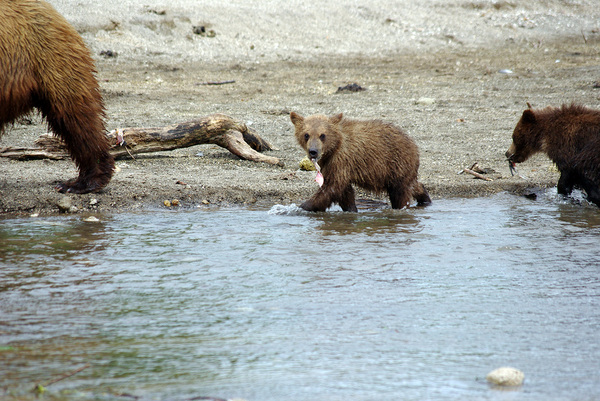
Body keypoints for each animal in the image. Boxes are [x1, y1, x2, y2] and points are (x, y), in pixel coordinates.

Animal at [290, 111, 432, 212]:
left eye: (322, 135)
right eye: (306, 135)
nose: (313, 151)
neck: (334, 147)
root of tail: (413, 143)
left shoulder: (342, 159)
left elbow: (331, 187)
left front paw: (301, 207)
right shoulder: (330, 163)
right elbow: (344, 191)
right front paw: (351, 209)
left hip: (397, 162)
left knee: (400, 192)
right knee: (412, 184)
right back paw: (425, 198)